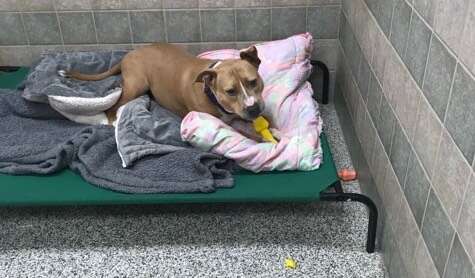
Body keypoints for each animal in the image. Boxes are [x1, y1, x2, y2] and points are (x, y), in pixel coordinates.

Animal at [61, 43, 266, 123]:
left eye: (253, 82)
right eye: (230, 91)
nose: (254, 109)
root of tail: (130, 53)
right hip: (136, 85)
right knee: (114, 104)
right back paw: (112, 121)